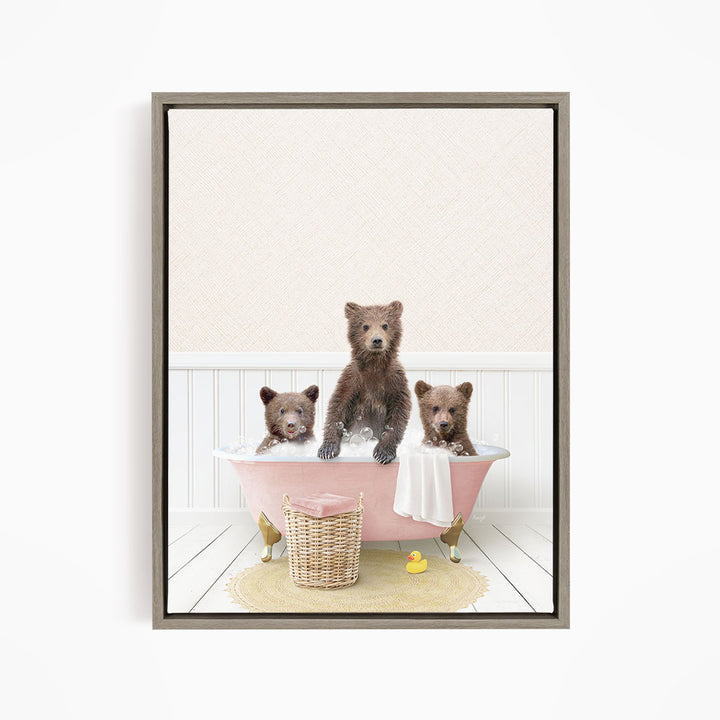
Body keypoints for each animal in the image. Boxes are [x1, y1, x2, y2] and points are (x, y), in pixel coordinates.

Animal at [318, 301, 411, 464]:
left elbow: (399, 412)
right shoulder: (352, 378)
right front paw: (327, 449)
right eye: (365, 326)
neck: (374, 365)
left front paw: (382, 453)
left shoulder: (395, 380)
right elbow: (338, 406)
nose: (377, 340)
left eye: (385, 325)